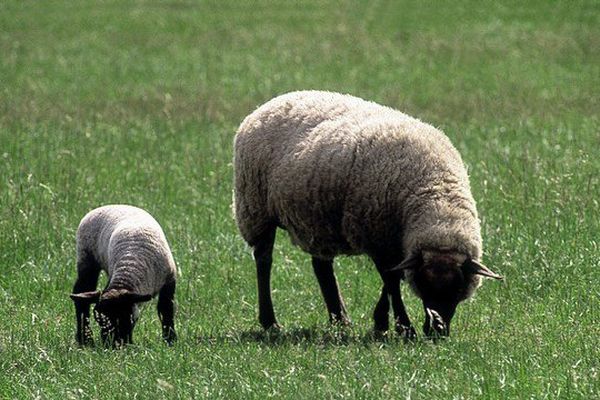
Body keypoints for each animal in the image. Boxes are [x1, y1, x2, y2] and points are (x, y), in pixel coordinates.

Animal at [70, 205, 177, 346]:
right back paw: (85, 339)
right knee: (82, 291)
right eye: (99, 320)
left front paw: (170, 340)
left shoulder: (169, 281)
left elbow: (166, 309)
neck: (130, 266)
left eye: (125, 318)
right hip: (86, 258)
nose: (111, 345)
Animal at [233, 90, 502, 338]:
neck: (436, 193)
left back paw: (339, 318)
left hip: (318, 220)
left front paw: (382, 322)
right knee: (264, 262)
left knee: (322, 267)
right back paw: (270, 322)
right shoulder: (378, 235)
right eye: (424, 286)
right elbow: (391, 283)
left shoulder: (395, 243)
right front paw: (403, 327)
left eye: (458, 289)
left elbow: (392, 280)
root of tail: (274, 101)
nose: (436, 332)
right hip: (255, 209)